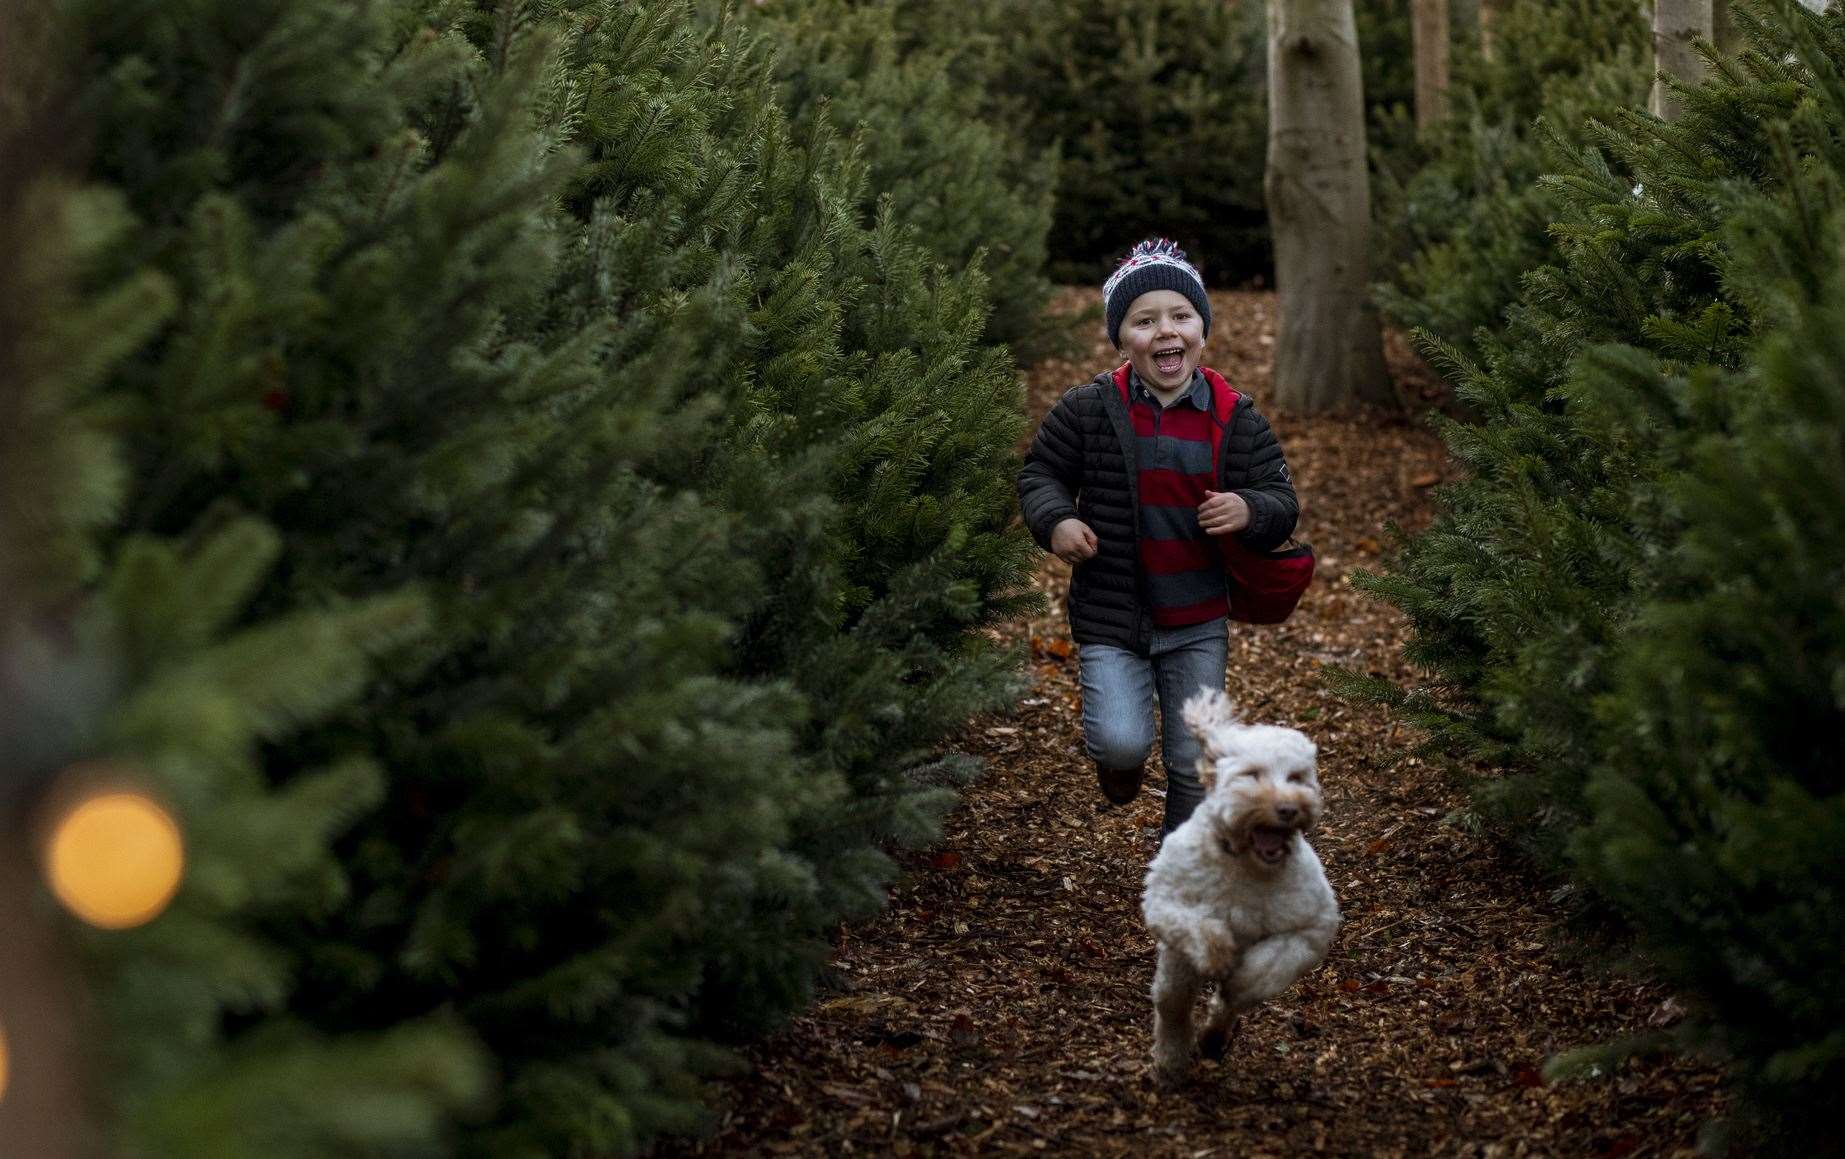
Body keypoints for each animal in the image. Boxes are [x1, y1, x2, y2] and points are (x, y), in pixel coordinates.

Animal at [1136, 686, 1343, 1085]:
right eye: (1252, 774)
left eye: (1296, 778)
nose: (1288, 809)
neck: (1246, 864)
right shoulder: (1166, 902)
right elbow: (1200, 929)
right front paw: (1219, 954)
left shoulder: (1313, 925)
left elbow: (1267, 967)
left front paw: (1240, 981)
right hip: (1176, 968)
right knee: (1173, 1009)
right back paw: (1171, 1062)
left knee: (1226, 1006)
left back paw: (1214, 1037)